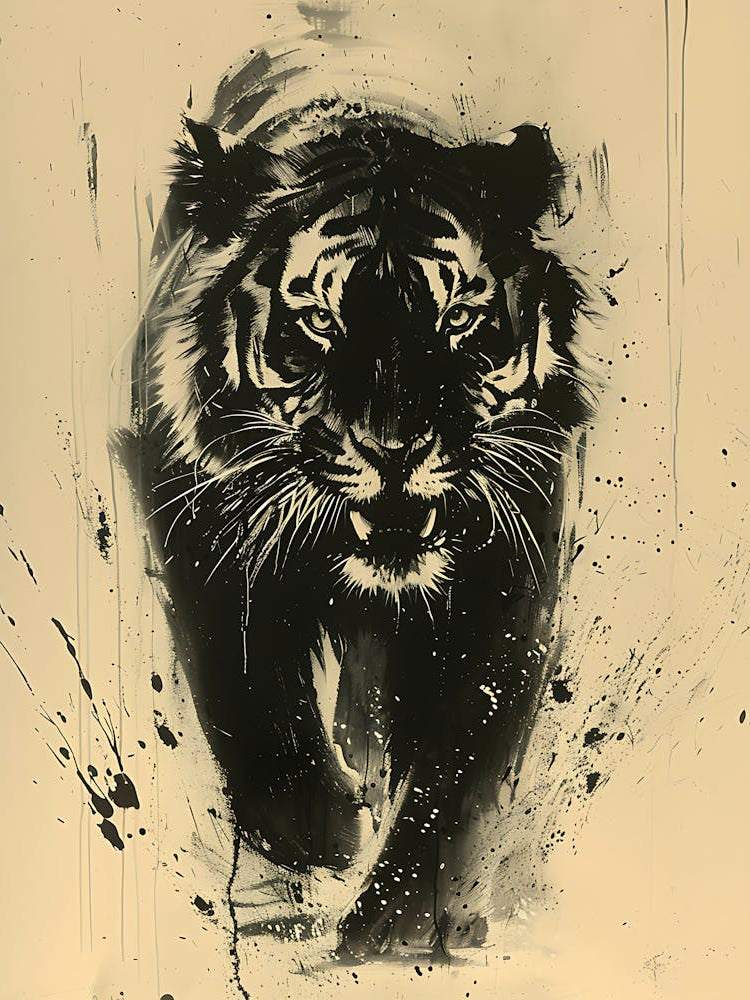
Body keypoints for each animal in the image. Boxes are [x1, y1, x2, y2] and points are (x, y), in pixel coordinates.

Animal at [128, 97, 595, 958]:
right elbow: (256, 706)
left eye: (458, 317)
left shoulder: (506, 585)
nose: (394, 447)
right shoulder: (203, 541)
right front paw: (321, 840)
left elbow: (450, 785)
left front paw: (392, 933)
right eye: (319, 320)